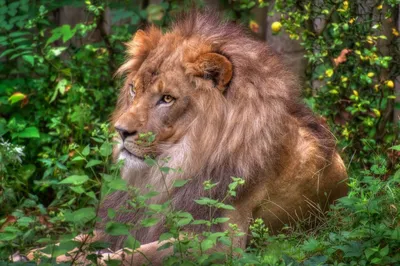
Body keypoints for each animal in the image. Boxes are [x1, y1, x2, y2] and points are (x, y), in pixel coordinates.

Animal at [25, 10, 346, 264]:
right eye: (133, 89)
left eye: (167, 98)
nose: (120, 131)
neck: (178, 161)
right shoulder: (126, 224)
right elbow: (77, 241)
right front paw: (32, 254)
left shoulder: (222, 244)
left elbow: (133, 256)